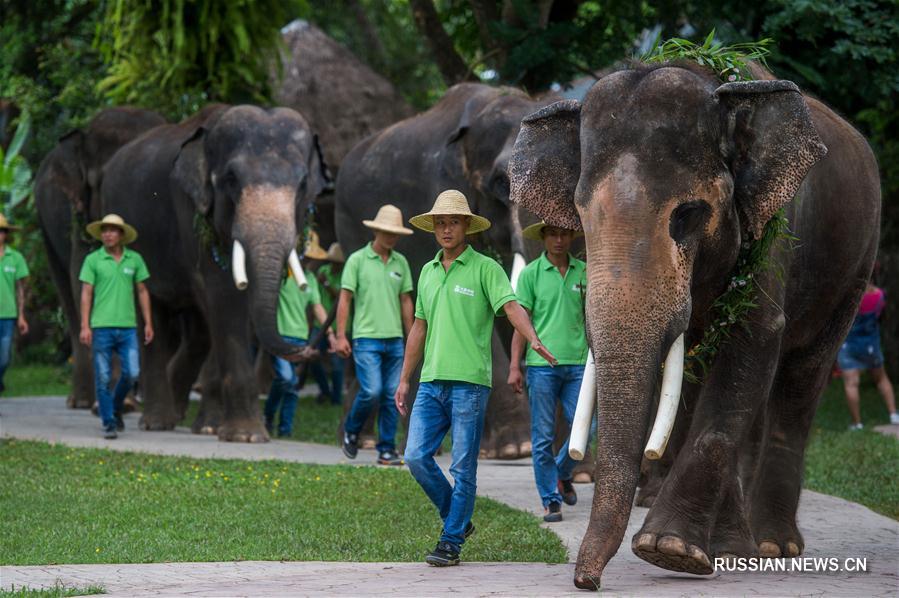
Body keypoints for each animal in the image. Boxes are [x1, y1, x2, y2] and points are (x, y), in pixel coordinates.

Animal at [33, 106, 167, 408]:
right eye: (100, 182)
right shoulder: (79, 214)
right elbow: (83, 282)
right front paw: (119, 401)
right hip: (45, 224)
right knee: (66, 291)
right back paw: (82, 401)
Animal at [100, 102, 328, 440]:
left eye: (302, 185)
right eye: (231, 178)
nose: (309, 349)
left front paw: (214, 428)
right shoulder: (190, 210)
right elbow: (224, 298)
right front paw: (247, 436)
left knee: (198, 331)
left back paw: (183, 413)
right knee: (153, 316)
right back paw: (157, 421)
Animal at [510, 62, 884, 592]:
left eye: (687, 215)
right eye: (582, 216)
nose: (587, 581)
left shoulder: (772, 233)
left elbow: (756, 335)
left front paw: (668, 550)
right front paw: (692, 551)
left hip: (855, 269)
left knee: (801, 378)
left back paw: (773, 547)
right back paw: (734, 548)